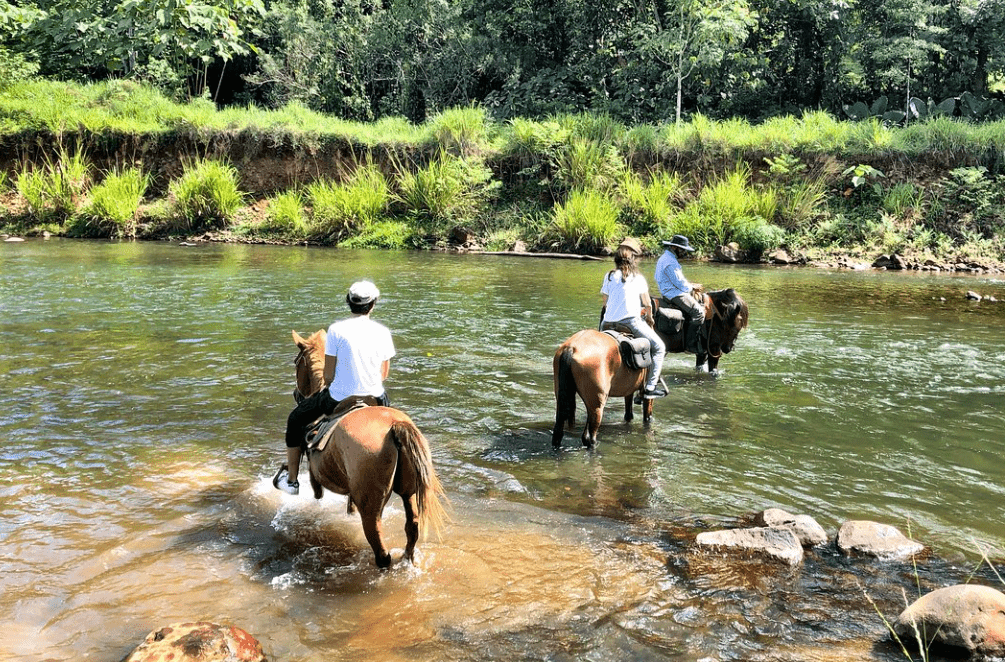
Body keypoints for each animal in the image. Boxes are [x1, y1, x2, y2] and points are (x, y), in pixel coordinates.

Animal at [291, 329, 448, 566]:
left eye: (296, 363)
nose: (296, 394)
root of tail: (395, 426)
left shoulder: (314, 475)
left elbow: (317, 496)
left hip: (371, 506)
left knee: (381, 552)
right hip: (408, 492)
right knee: (412, 529)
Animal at [554, 289, 751, 448]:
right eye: (737, 324)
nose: (729, 348)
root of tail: (571, 349)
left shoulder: (630, 388)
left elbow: (629, 413)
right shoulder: (712, 349)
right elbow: (647, 417)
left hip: (564, 400)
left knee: (559, 431)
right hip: (596, 405)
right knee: (589, 437)